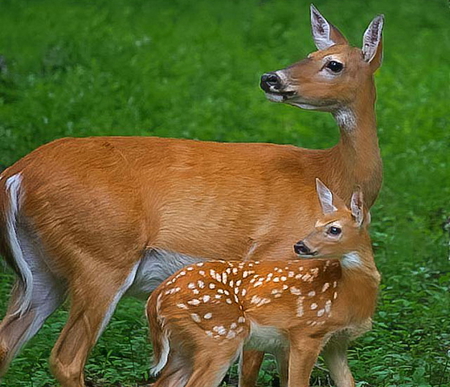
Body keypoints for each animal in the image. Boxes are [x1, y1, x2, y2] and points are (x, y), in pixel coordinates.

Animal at [146, 182, 378, 387]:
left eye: (334, 229)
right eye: (316, 225)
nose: (300, 246)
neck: (345, 294)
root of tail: (155, 298)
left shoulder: (336, 343)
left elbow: (347, 382)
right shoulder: (306, 333)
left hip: (184, 345)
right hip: (219, 336)